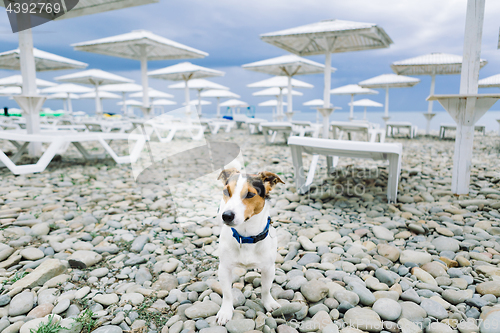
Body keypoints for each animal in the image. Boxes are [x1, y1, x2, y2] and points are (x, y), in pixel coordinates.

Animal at [215, 167, 286, 322]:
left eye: (250, 194)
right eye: (226, 191)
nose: (226, 215)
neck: (246, 237)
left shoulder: (269, 268)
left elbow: (265, 288)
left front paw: (269, 303)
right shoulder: (224, 269)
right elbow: (227, 293)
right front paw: (225, 311)